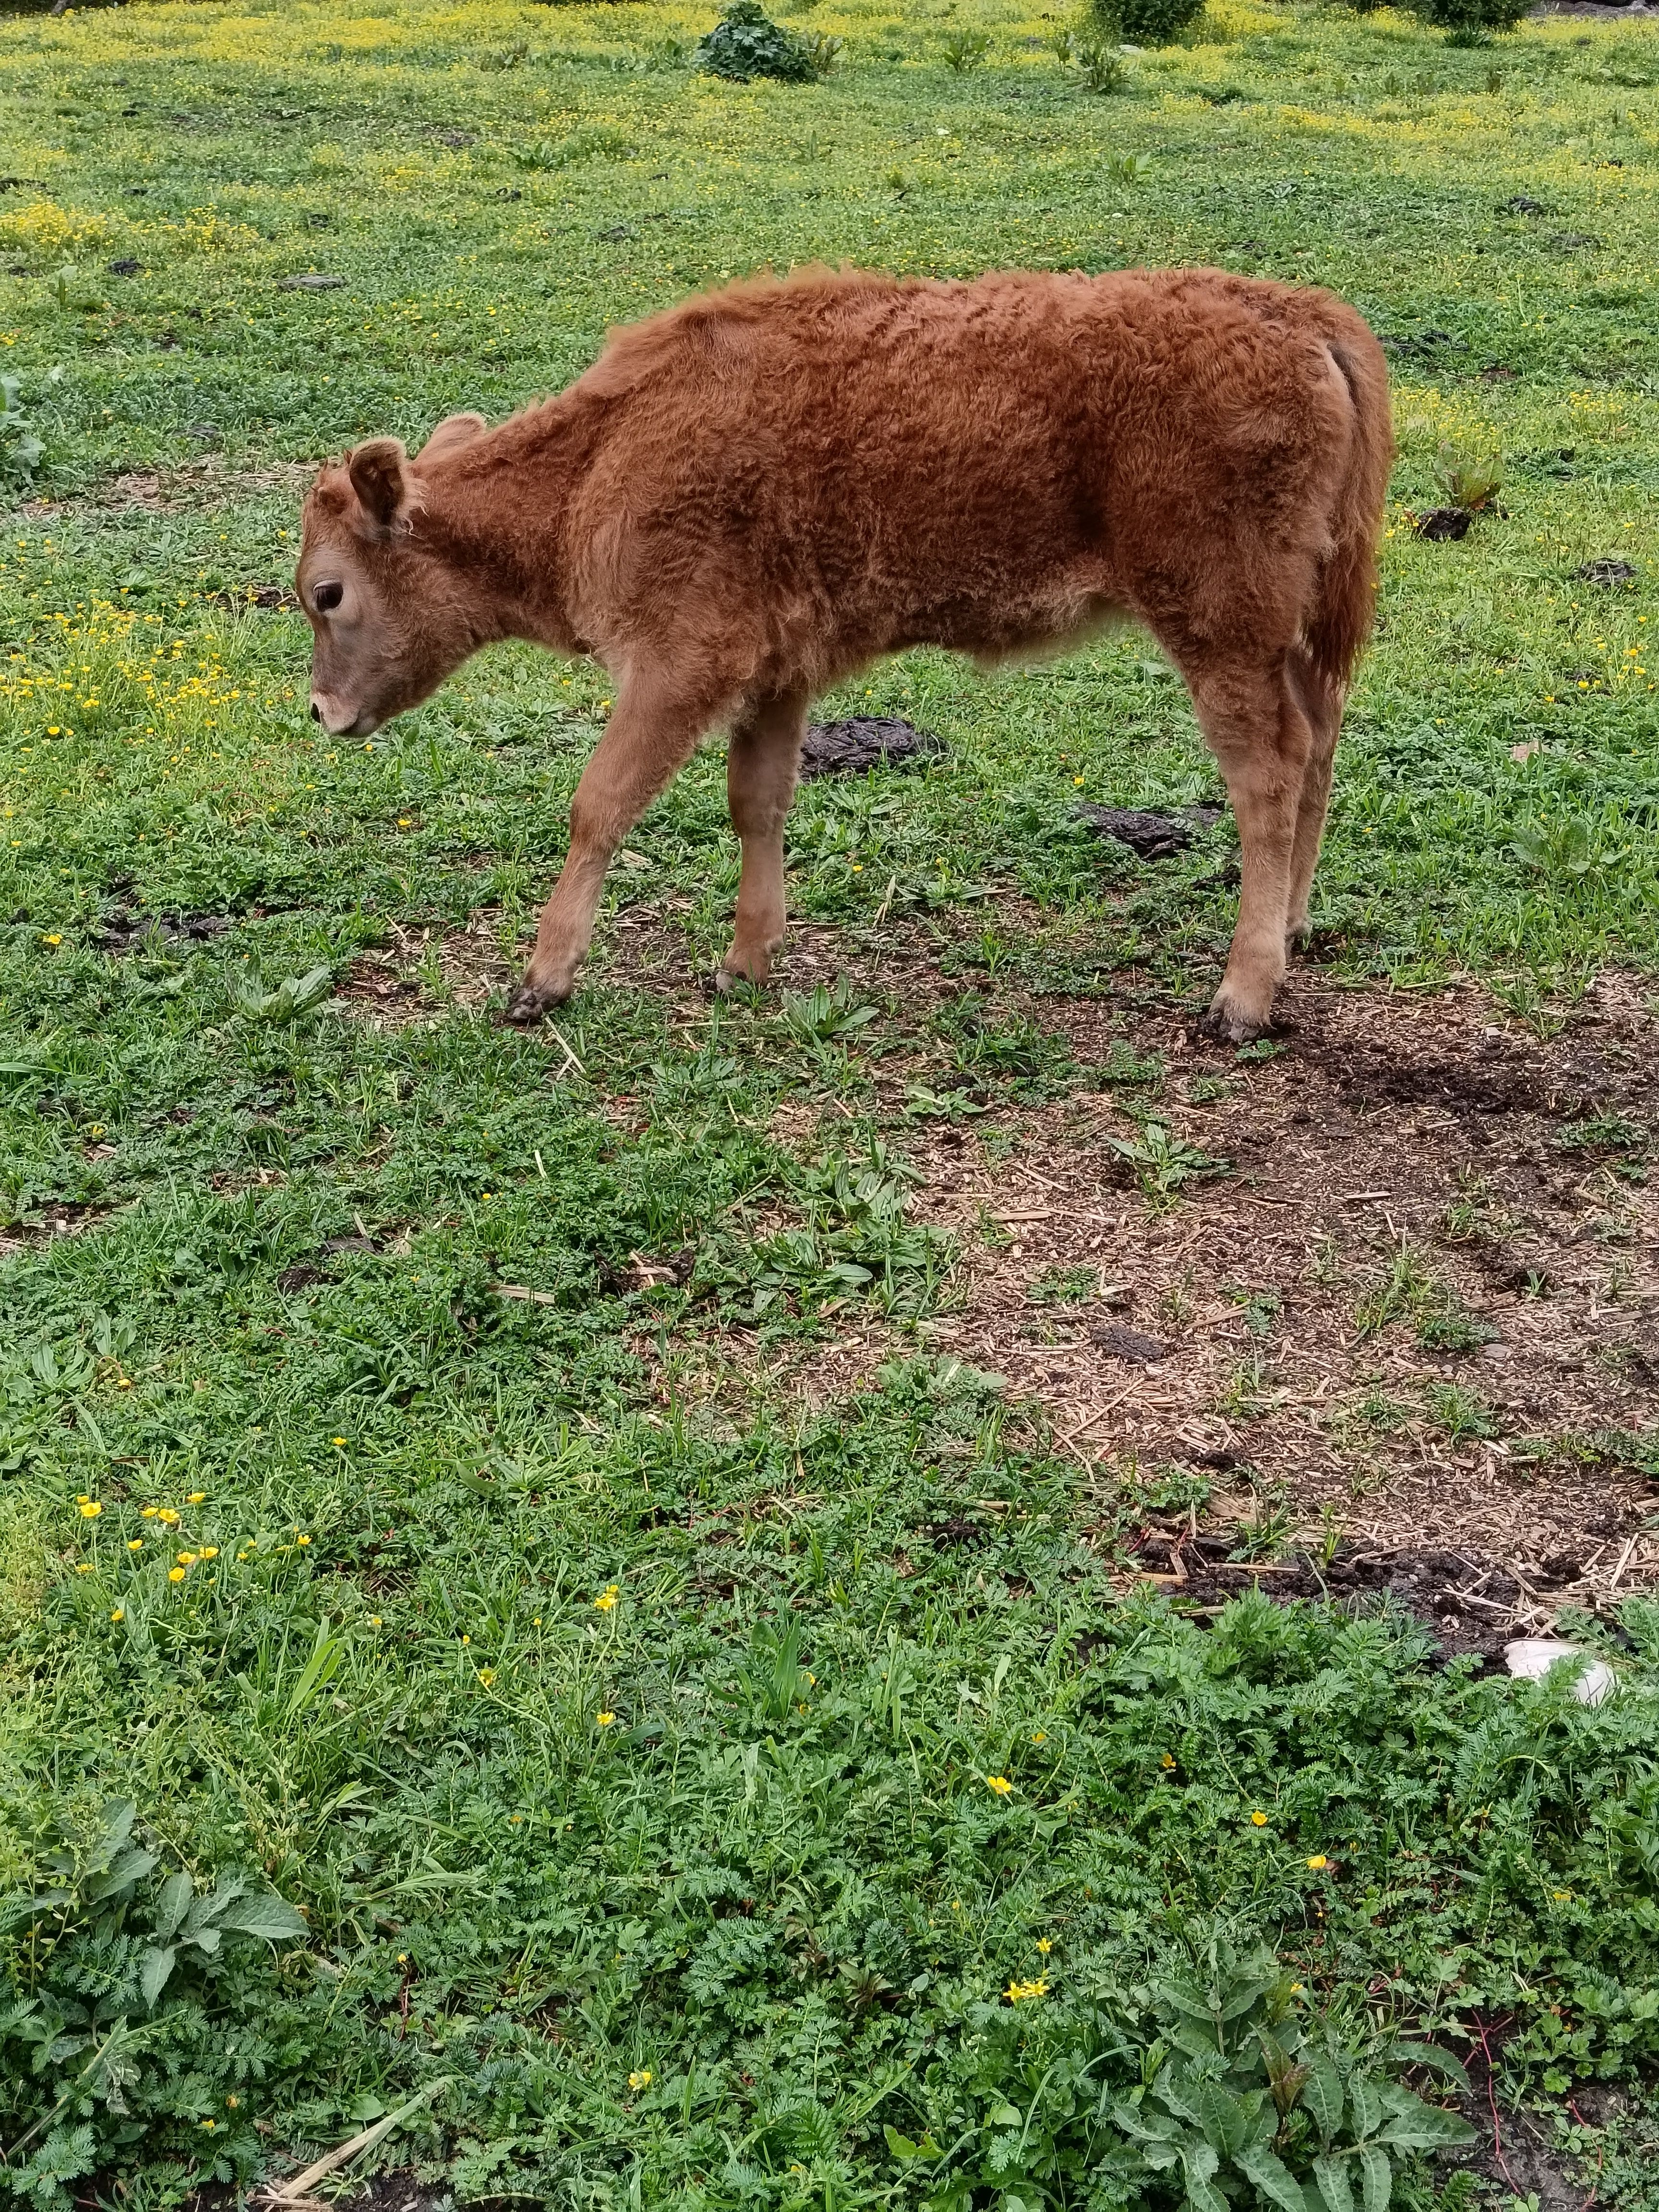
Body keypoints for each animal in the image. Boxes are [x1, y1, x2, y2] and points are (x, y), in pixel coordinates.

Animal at [296, 263, 1389, 1039]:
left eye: (327, 592)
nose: (321, 712)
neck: (602, 458)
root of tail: (1299, 314)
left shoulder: (681, 665)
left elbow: (599, 803)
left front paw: (542, 980)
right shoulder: (776, 676)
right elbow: (758, 803)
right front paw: (744, 965)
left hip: (1218, 627)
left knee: (1266, 773)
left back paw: (1241, 997)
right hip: (1285, 630)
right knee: (1320, 738)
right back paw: (1292, 929)